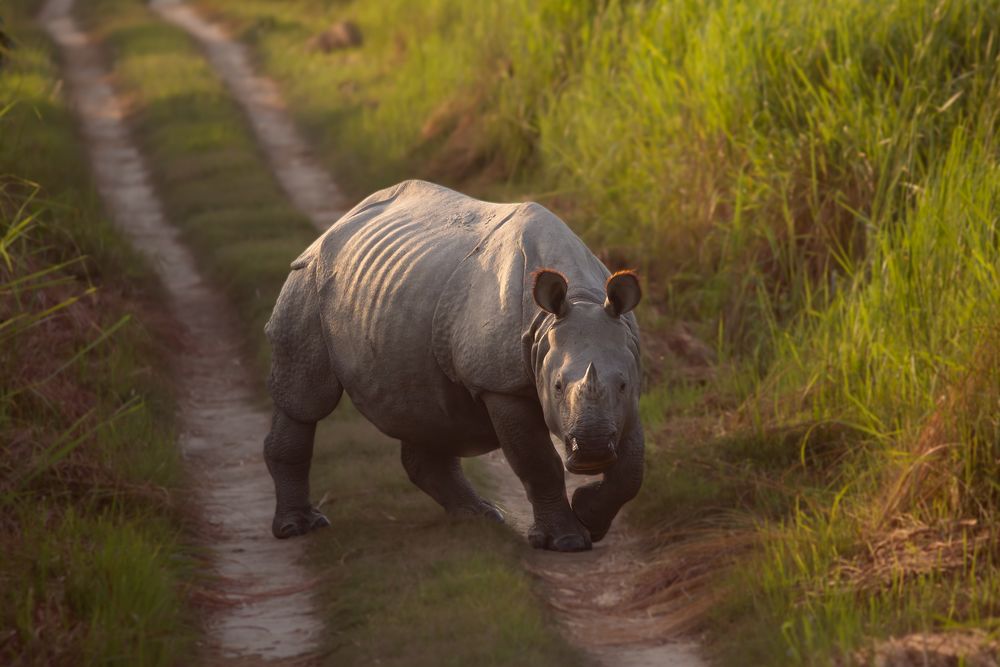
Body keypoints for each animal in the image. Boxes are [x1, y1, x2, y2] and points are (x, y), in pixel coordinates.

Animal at [264, 180, 643, 552]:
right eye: (558, 386)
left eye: (623, 385)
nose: (592, 451)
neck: (579, 297)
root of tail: (340, 223)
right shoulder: (500, 386)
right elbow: (538, 461)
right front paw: (566, 541)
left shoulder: (627, 374)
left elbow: (631, 466)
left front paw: (589, 515)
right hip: (310, 277)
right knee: (306, 400)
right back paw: (300, 527)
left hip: (402, 296)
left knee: (427, 409)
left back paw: (479, 516)